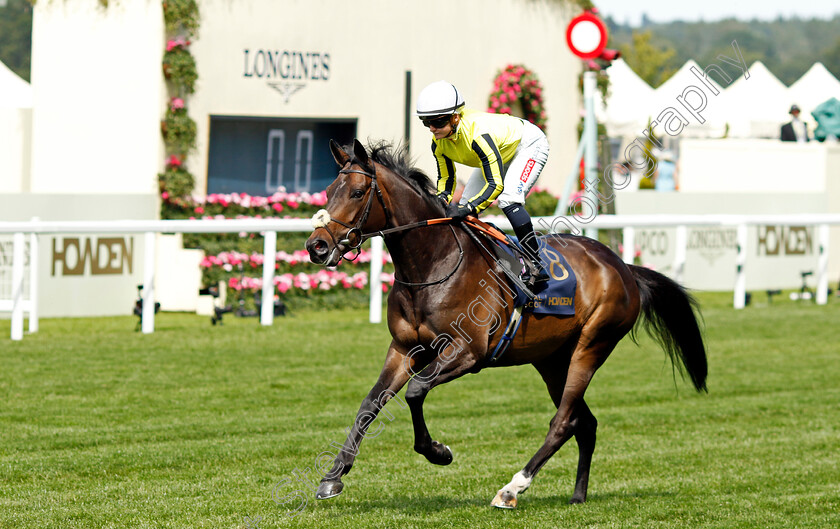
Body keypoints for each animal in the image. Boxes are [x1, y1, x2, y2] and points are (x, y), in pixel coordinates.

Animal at [306, 139, 704, 508]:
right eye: (329, 190)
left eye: (358, 192)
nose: (317, 246)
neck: (433, 264)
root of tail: (622, 267)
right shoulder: (404, 348)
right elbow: (370, 403)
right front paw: (333, 476)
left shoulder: (468, 352)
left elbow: (416, 391)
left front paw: (438, 451)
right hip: (551, 360)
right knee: (584, 422)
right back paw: (577, 495)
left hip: (592, 346)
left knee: (563, 421)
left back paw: (512, 489)